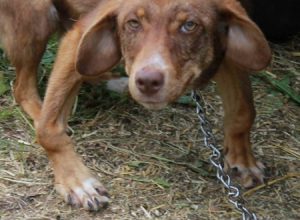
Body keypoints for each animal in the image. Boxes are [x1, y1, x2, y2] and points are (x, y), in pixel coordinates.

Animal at [0, 0, 270, 211]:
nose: (147, 81)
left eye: (189, 25)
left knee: (85, 69)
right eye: (133, 23)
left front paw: (243, 161)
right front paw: (78, 183)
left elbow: (244, 111)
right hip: (38, 17)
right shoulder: (79, 36)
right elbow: (49, 131)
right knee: (23, 89)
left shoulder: (229, 49)